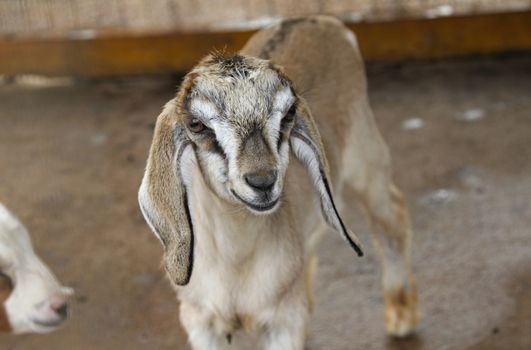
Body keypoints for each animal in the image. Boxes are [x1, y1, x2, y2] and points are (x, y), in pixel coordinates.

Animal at [138, 15, 420, 348]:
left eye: (289, 114)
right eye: (196, 124)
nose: (262, 181)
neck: (235, 265)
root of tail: (318, 20)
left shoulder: (282, 322)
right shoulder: (201, 322)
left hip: (365, 156)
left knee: (392, 215)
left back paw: (401, 315)